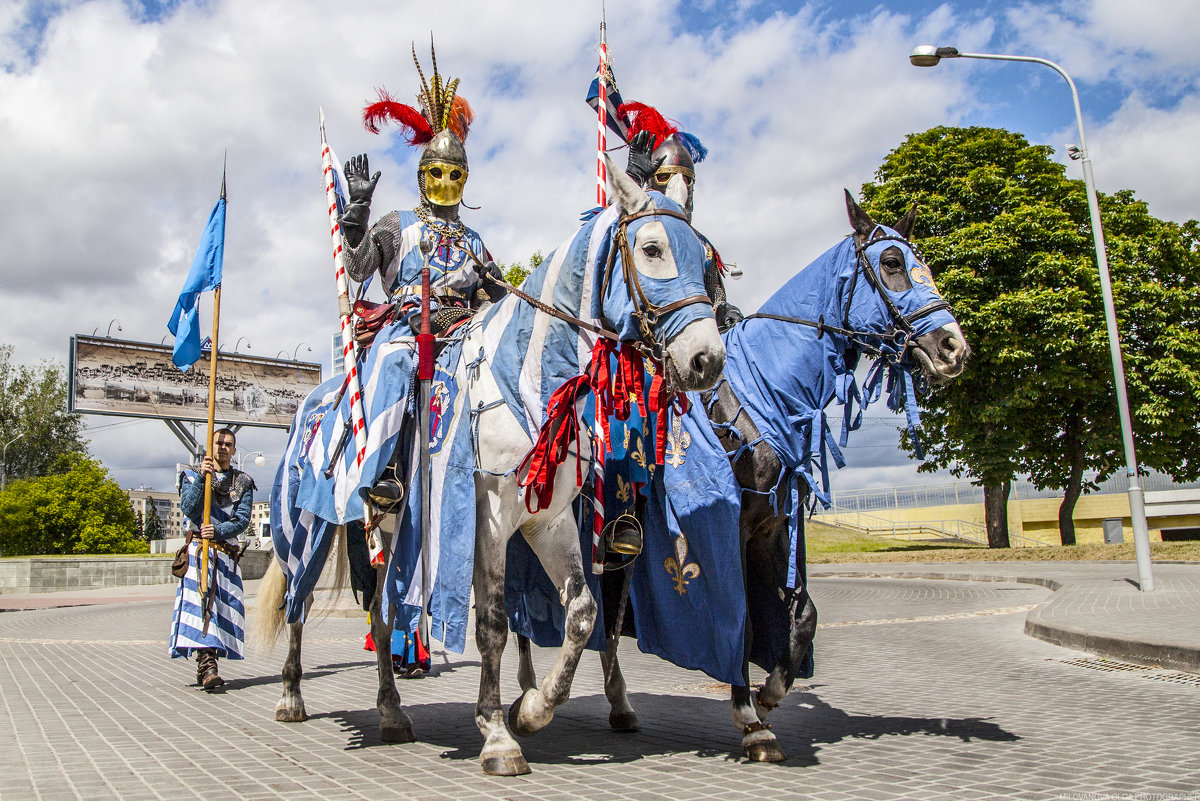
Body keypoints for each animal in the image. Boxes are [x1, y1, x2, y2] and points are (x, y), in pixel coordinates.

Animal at [255, 155, 720, 777]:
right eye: (651, 249)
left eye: (706, 261)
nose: (707, 360)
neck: (527, 378)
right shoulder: (486, 521)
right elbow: (494, 625)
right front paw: (499, 735)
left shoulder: (548, 522)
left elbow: (581, 613)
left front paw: (533, 709)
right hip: (304, 527)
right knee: (298, 602)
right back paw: (290, 697)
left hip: (389, 535)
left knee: (380, 613)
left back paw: (392, 713)